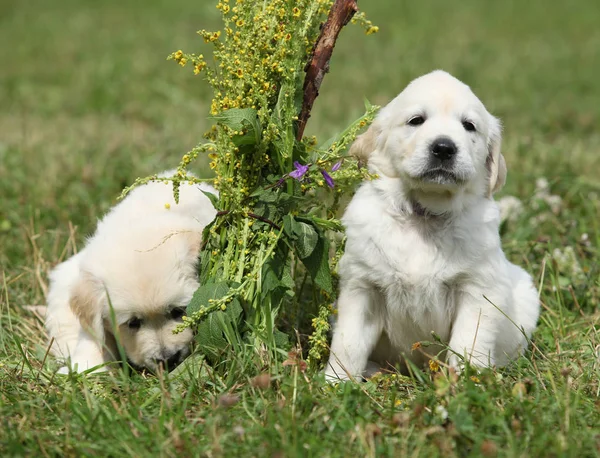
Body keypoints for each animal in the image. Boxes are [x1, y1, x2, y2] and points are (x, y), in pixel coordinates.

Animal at [326, 70, 540, 380]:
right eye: (416, 120)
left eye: (469, 126)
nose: (444, 147)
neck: (425, 215)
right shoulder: (362, 286)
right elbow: (348, 343)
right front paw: (335, 382)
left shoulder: (478, 288)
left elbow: (468, 343)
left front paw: (465, 381)